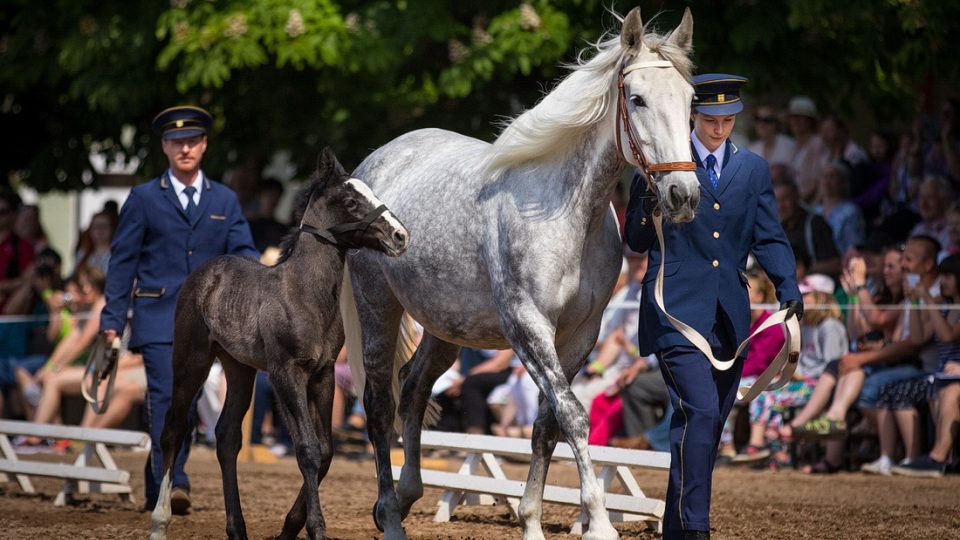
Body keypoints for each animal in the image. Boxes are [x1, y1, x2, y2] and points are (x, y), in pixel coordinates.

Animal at [150, 148, 408, 540]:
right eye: (351, 201)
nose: (400, 235)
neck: (304, 294)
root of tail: (206, 272)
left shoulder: (323, 374)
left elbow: (325, 450)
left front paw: (289, 527)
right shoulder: (286, 373)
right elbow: (307, 449)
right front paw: (316, 529)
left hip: (239, 367)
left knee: (227, 437)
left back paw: (237, 529)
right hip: (190, 359)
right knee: (173, 430)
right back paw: (160, 521)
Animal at [344, 8, 696, 540]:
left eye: (692, 100)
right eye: (636, 99)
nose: (683, 194)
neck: (566, 214)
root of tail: (373, 164)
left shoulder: (579, 336)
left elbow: (547, 425)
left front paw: (530, 519)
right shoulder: (528, 327)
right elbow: (573, 416)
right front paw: (599, 521)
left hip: (446, 328)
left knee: (414, 387)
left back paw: (406, 496)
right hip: (377, 308)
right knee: (380, 402)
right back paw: (389, 515)